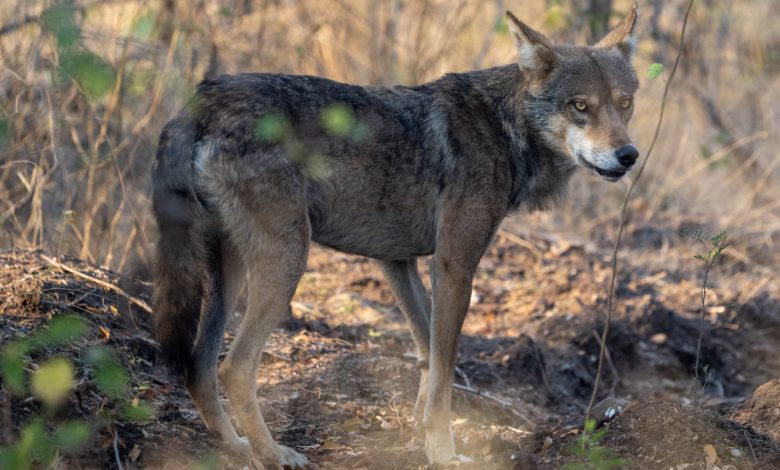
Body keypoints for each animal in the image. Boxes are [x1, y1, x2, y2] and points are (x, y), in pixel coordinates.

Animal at [151, 3, 640, 466]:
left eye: (624, 104)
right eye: (580, 106)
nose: (629, 154)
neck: (505, 126)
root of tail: (200, 101)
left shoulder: (396, 261)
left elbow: (428, 355)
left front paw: (417, 436)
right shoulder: (454, 265)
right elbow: (445, 368)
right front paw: (442, 451)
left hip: (231, 271)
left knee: (199, 365)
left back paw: (235, 447)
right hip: (288, 260)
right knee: (233, 368)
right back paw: (272, 454)